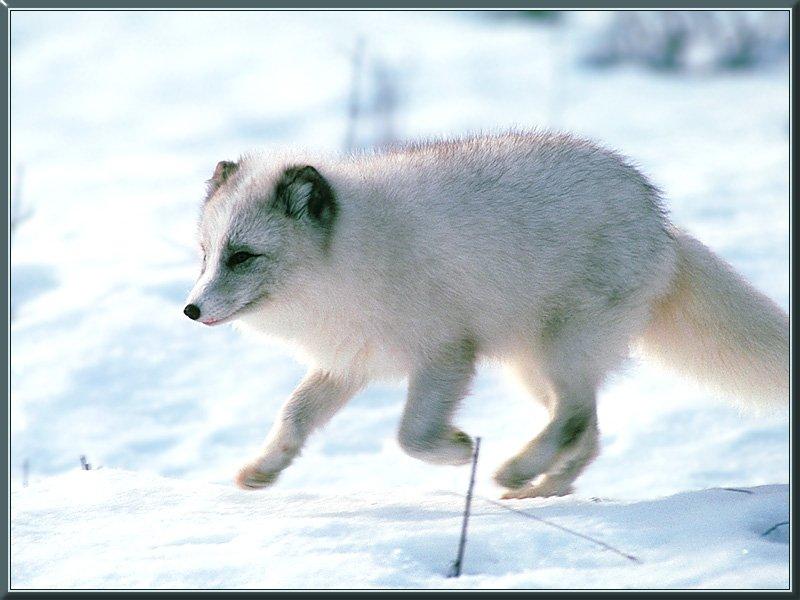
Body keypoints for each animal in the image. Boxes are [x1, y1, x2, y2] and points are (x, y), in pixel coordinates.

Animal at [184, 131, 792, 496]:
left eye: (243, 257)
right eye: (206, 255)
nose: (190, 309)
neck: (352, 258)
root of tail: (660, 224)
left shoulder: (447, 353)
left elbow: (410, 435)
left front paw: (456, 451)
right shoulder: (349, 361)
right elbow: (293, 415)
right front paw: (263, 470)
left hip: (559, 346)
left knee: (575, 418)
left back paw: (517, 470)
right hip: (533, 366)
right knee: (588, 428)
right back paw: (544, 490)